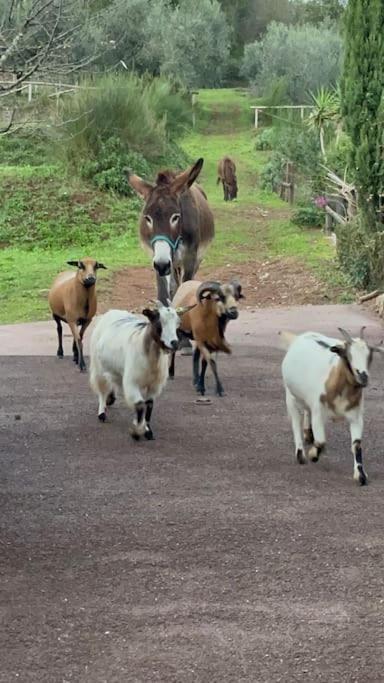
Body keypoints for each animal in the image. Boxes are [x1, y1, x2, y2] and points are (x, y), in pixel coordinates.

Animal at [89, 302, 192, 440]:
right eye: (159, 323)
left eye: (178, 323)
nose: (174, 343)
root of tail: (112, 311)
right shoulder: (132, 382)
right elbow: (140, 405)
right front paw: (136, 432)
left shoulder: (154, 385)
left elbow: (148, 405)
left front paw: (147, 431)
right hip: (98, 366)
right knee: (102, 390)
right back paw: (102, 413)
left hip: (118, 371)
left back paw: (111, 399)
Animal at [280, 328, 382, 484]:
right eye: (347, 355)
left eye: (369, 356)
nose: (363, 377)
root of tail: (300, 337)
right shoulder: (319, 413)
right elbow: (321, 441)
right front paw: (313, 454)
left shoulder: (356, 416)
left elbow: (356, 445)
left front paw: (360, 475)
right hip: (290, 395)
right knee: (295, 420)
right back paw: (300, 454)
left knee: (306, 410)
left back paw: (308, 434)